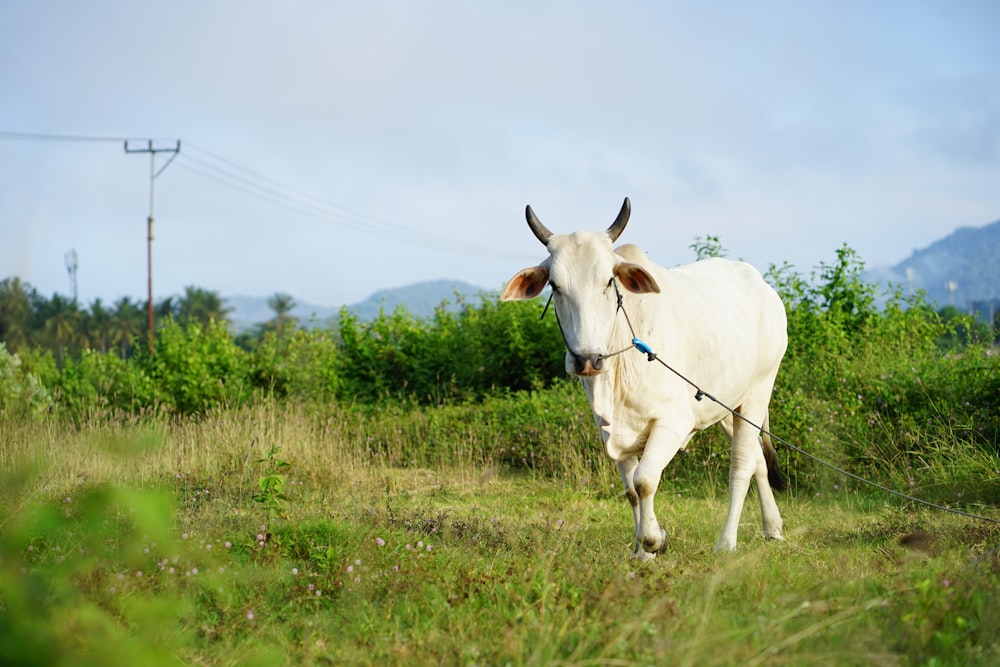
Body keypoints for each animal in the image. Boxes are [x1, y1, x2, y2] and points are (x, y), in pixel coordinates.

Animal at [500, 198, 788, 560]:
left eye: (609, 282)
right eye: (555, 285)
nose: (587, 359)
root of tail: (765, 289)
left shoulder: (672, 423)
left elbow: (645, 480)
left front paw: (654, 540)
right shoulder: (609, 430)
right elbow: (631, 490)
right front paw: (642, 551)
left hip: (758, 394)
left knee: (741, 466)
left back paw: (726, 543)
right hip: (726, 405)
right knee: (758, 462)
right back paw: (773, 527)